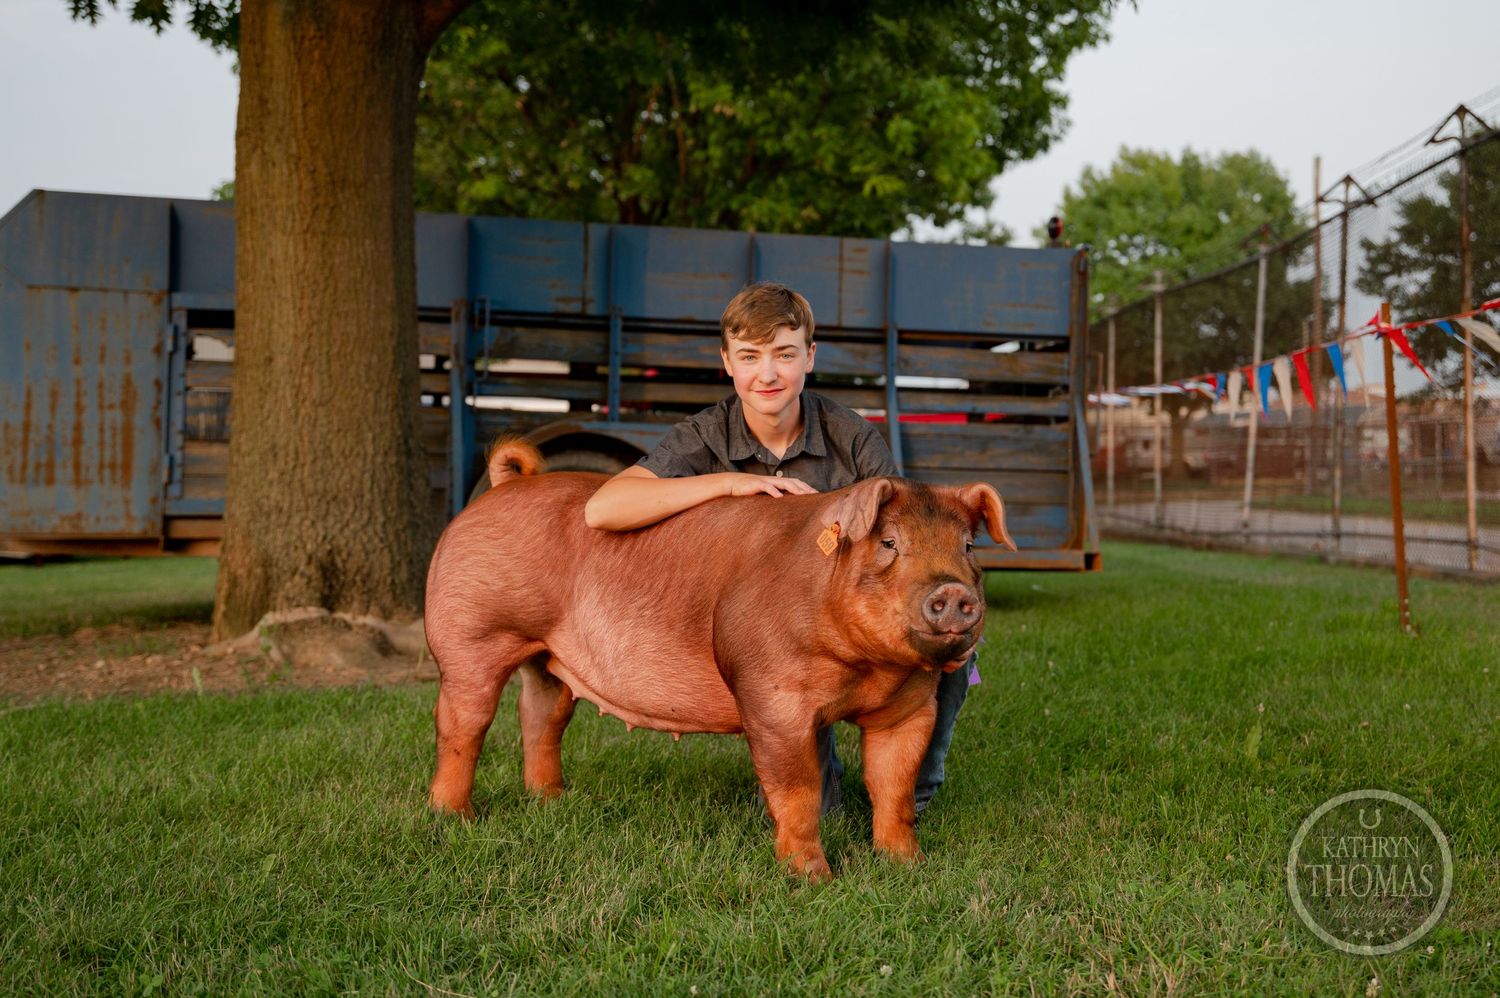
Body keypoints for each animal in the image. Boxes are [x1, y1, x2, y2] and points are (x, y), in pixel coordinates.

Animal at [424, 441, 1015, 882]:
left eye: (968, 546)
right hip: (469, 635)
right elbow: (798, 791)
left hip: (548, 659)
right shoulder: (770, 696)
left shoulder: (911, 706)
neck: (867, 669)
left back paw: (552, 801)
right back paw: (455, 817)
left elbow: (893, 788)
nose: (954, 593)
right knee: (463, 723)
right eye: (890, 542)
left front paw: (909, 867)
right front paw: (813, 879)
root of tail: (504, 486)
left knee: (541, 717)